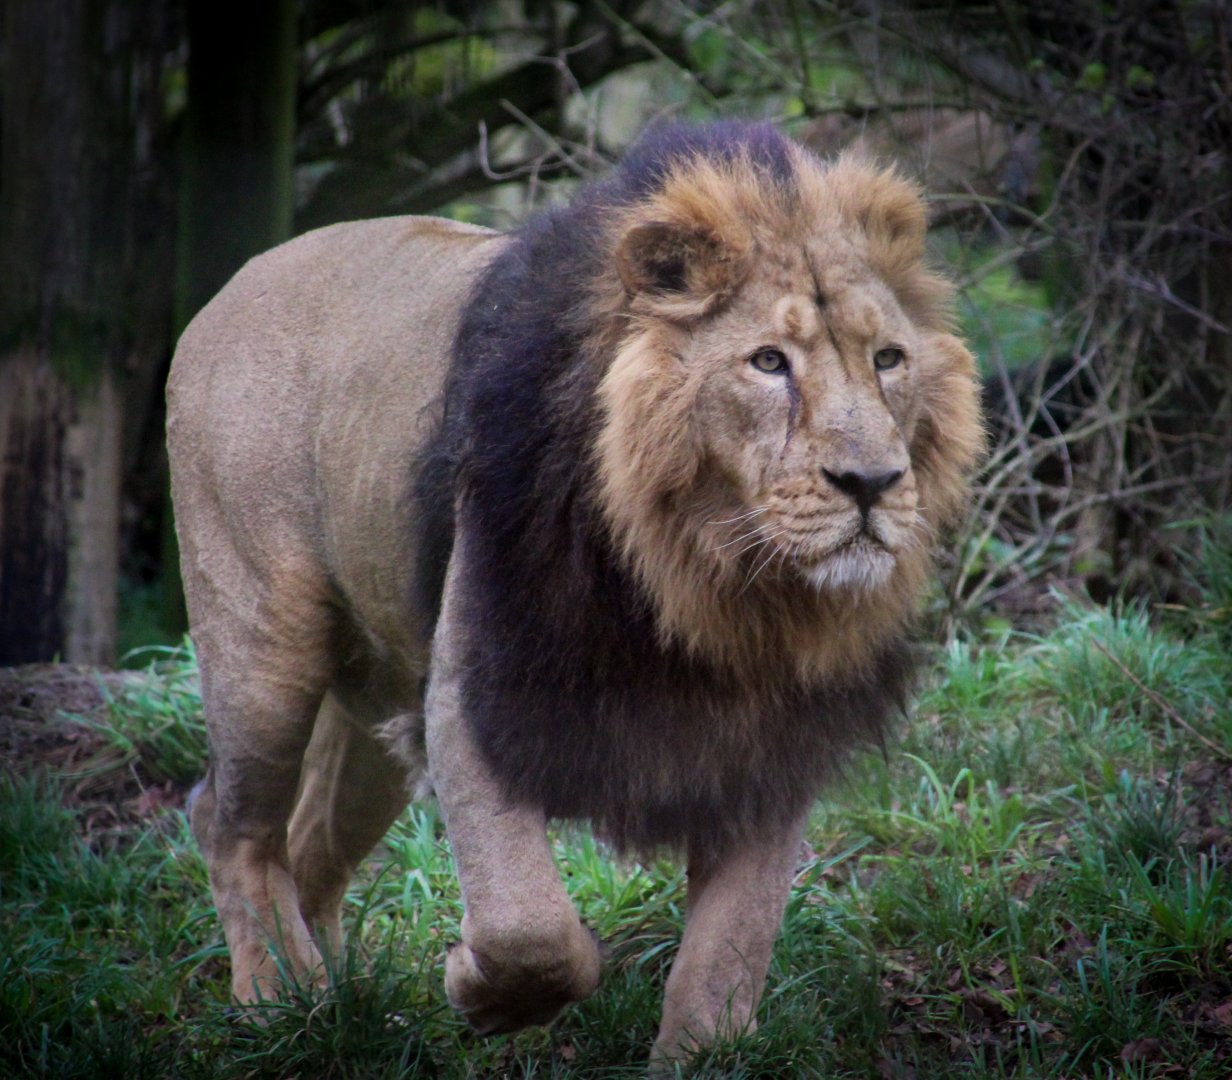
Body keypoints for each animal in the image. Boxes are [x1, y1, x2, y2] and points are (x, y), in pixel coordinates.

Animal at [167, 121, 983, 1064]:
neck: (712, 586)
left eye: (888, 359)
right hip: (264, 643)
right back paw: (281, 1002)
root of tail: (235, 283)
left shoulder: (770, 753)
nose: (873, 482)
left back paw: (336, 1008)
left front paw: (692, 1053)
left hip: (373, 699)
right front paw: (481, 991)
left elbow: (726, 960)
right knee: (234, 825)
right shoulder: (476, 699)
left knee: (310, 849)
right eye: (768, 363)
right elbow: (531, 928)